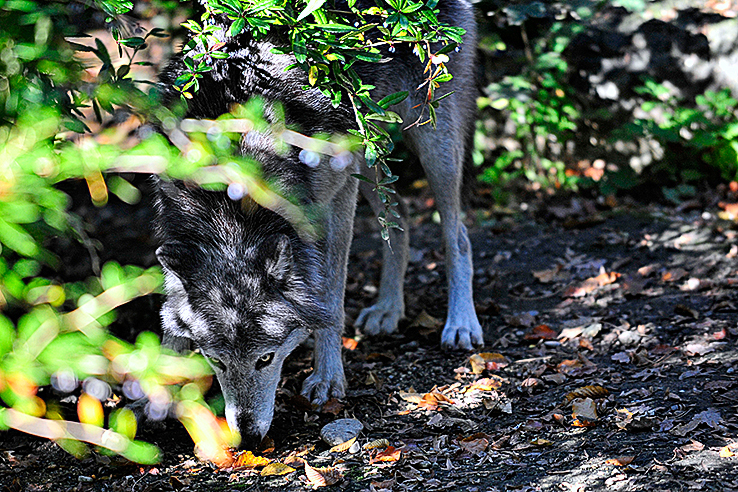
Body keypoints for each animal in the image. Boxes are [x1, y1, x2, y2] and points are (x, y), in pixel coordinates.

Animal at [152, 0, 480, 450]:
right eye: (216, 360)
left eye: (266, 358)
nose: (248, 437)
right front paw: (152, 396)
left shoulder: (333, 202)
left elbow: (331, 295)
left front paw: (327, 378)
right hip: (372, 156)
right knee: (399, 222)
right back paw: (388, 310)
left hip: (431, 142)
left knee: (457, 233)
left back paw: (461, 323)